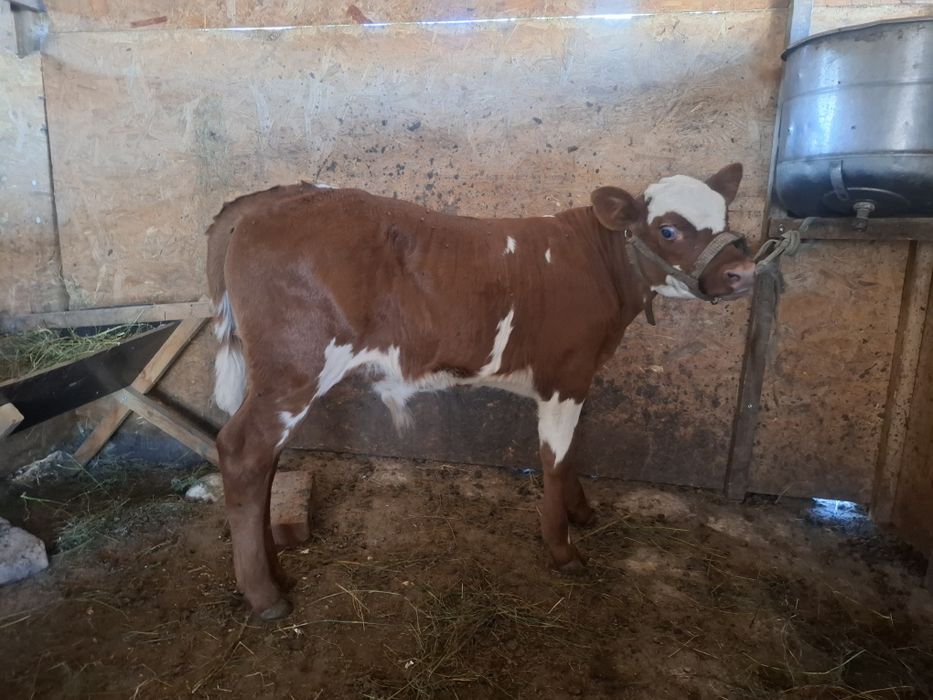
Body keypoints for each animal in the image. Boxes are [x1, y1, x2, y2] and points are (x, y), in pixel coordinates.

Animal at [206, 163, 755, 619]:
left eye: (725, 215)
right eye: (668, 229)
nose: (743, 272)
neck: (595, 265)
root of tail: (275, 197)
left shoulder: (577, 380)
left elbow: (570, 455)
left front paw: (582, 512)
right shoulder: (565, 376)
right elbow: (554, 460)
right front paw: (563, 548)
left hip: (278, 377)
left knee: (266, 462)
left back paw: (276, 572)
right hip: (295, 368)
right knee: (241, 452)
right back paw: (265, 595)